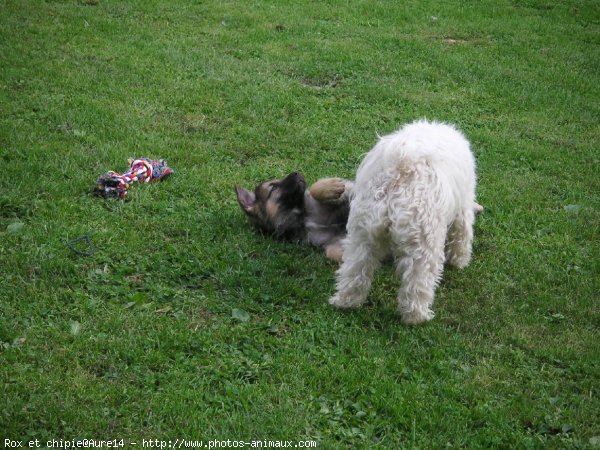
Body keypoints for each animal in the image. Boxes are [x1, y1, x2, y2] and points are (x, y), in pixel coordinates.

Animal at [330, 118, 480, 324]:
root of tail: (402, 166)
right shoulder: (463, 207)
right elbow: (462, 236)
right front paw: (459, 262)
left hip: (362, 235)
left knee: (355, 271)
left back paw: (345, 302)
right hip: (423, 241)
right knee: (417, 282)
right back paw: (417, 317)